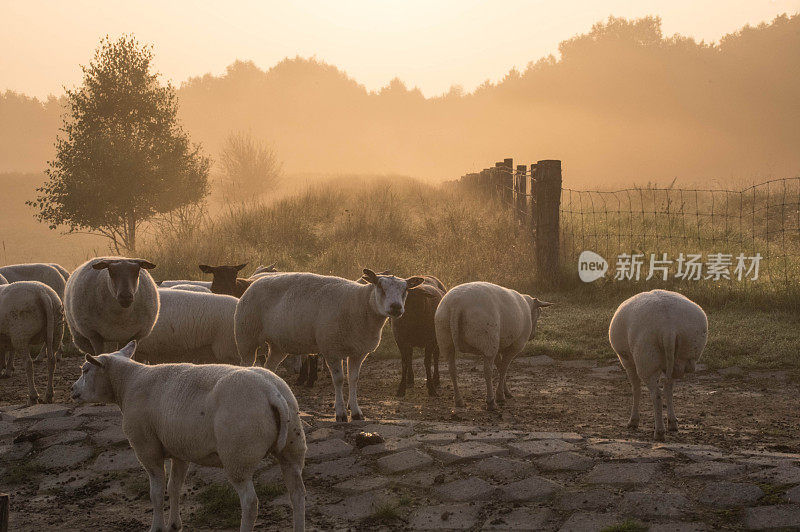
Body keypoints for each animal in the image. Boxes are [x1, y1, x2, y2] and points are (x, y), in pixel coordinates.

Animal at [71, 340, 306, 532]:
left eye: (85, 370)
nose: (72, 389)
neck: (127, 383)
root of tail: (272, 392)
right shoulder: (180, 450)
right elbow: (174, 487)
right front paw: (174, 525)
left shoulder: (147, 448)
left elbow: (156, 493)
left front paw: (156, 527)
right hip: (292, 448)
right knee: (298, 494)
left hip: (238, 456)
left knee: (250, 503)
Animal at [236, 270, 428, 424]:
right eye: (380, 286)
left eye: (405, 290)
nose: (396, 307)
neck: (361, 305)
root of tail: (255, 282)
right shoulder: (331, 348)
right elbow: (339, 379)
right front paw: (341, 413)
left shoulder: (359, 351)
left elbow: (354, 379)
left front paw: (356, 412)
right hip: (246, 337)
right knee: (246, 365)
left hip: (278, 345)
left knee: (269, 368)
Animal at [434, 282, 552, 412]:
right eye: (539, 313)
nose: (533, 335)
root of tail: (456, 303)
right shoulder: (515, 345)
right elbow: (504, 368)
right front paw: (501, 395)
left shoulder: (498, 346)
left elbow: (500, 367)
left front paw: (506, 391)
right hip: (488, 339)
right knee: (487, 371)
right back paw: (491, 402)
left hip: (445, 338)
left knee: (452, 369)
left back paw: (459, 400)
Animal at [608, 288, 708, 442]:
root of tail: (668, 327)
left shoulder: (627, 361)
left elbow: (636, 389)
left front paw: (633, 421)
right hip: (679, 359)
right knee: (668, 389)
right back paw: (672, 423)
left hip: (647, 359)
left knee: (656, 395)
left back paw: (659, 432)